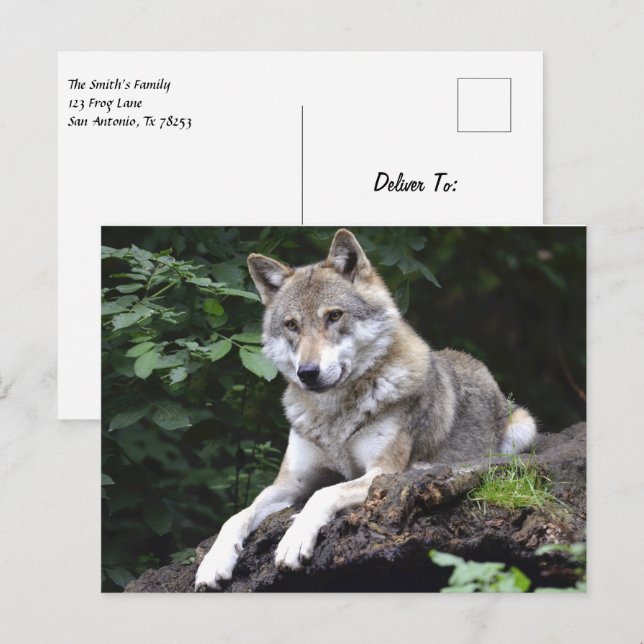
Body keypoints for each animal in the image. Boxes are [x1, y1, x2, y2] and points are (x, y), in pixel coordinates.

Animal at [195, 229, 537, 590]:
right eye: (291, 325)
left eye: (334, 316)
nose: (307, 372)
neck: (334, 416)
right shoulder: (289, 483)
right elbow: (237, 515)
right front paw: (214, 561)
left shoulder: (379, 471)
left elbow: (323, 494)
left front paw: (294, 539)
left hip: (523, 428)